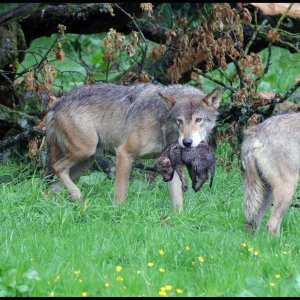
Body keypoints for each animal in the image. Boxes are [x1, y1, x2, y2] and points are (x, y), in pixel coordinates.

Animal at [45, 81, 221, 211]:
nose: (187, 142)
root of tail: (56, 104)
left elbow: (178, 202)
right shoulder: (124, 153)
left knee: (52, 185)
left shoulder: (171, 163)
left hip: (86, 161)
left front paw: (179, 220)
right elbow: (120, 195)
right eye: (179, 121)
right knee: (57, 167)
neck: (163, 122)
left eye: (199, 120)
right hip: (85, 151)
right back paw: (78, 197)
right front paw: (117, 215)